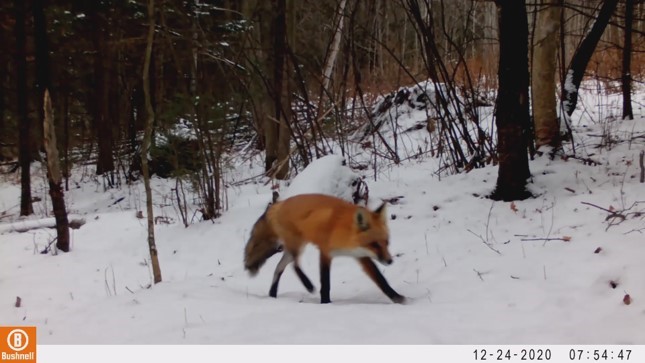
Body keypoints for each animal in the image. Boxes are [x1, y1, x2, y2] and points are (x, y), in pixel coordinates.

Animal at [244, 193, 406, 304]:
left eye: (387, 242)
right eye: (375, 244)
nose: (390, 261)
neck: (345, 232)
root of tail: (279, 203)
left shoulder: (360, 256)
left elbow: (381, 279)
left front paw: (397, 298)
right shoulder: (325, 252)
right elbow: (325, 282)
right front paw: (326, 303)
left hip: (293, 248)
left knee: (279, 267)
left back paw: (272, 294)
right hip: (297, 245)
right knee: (295, 265)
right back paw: (308, 285)